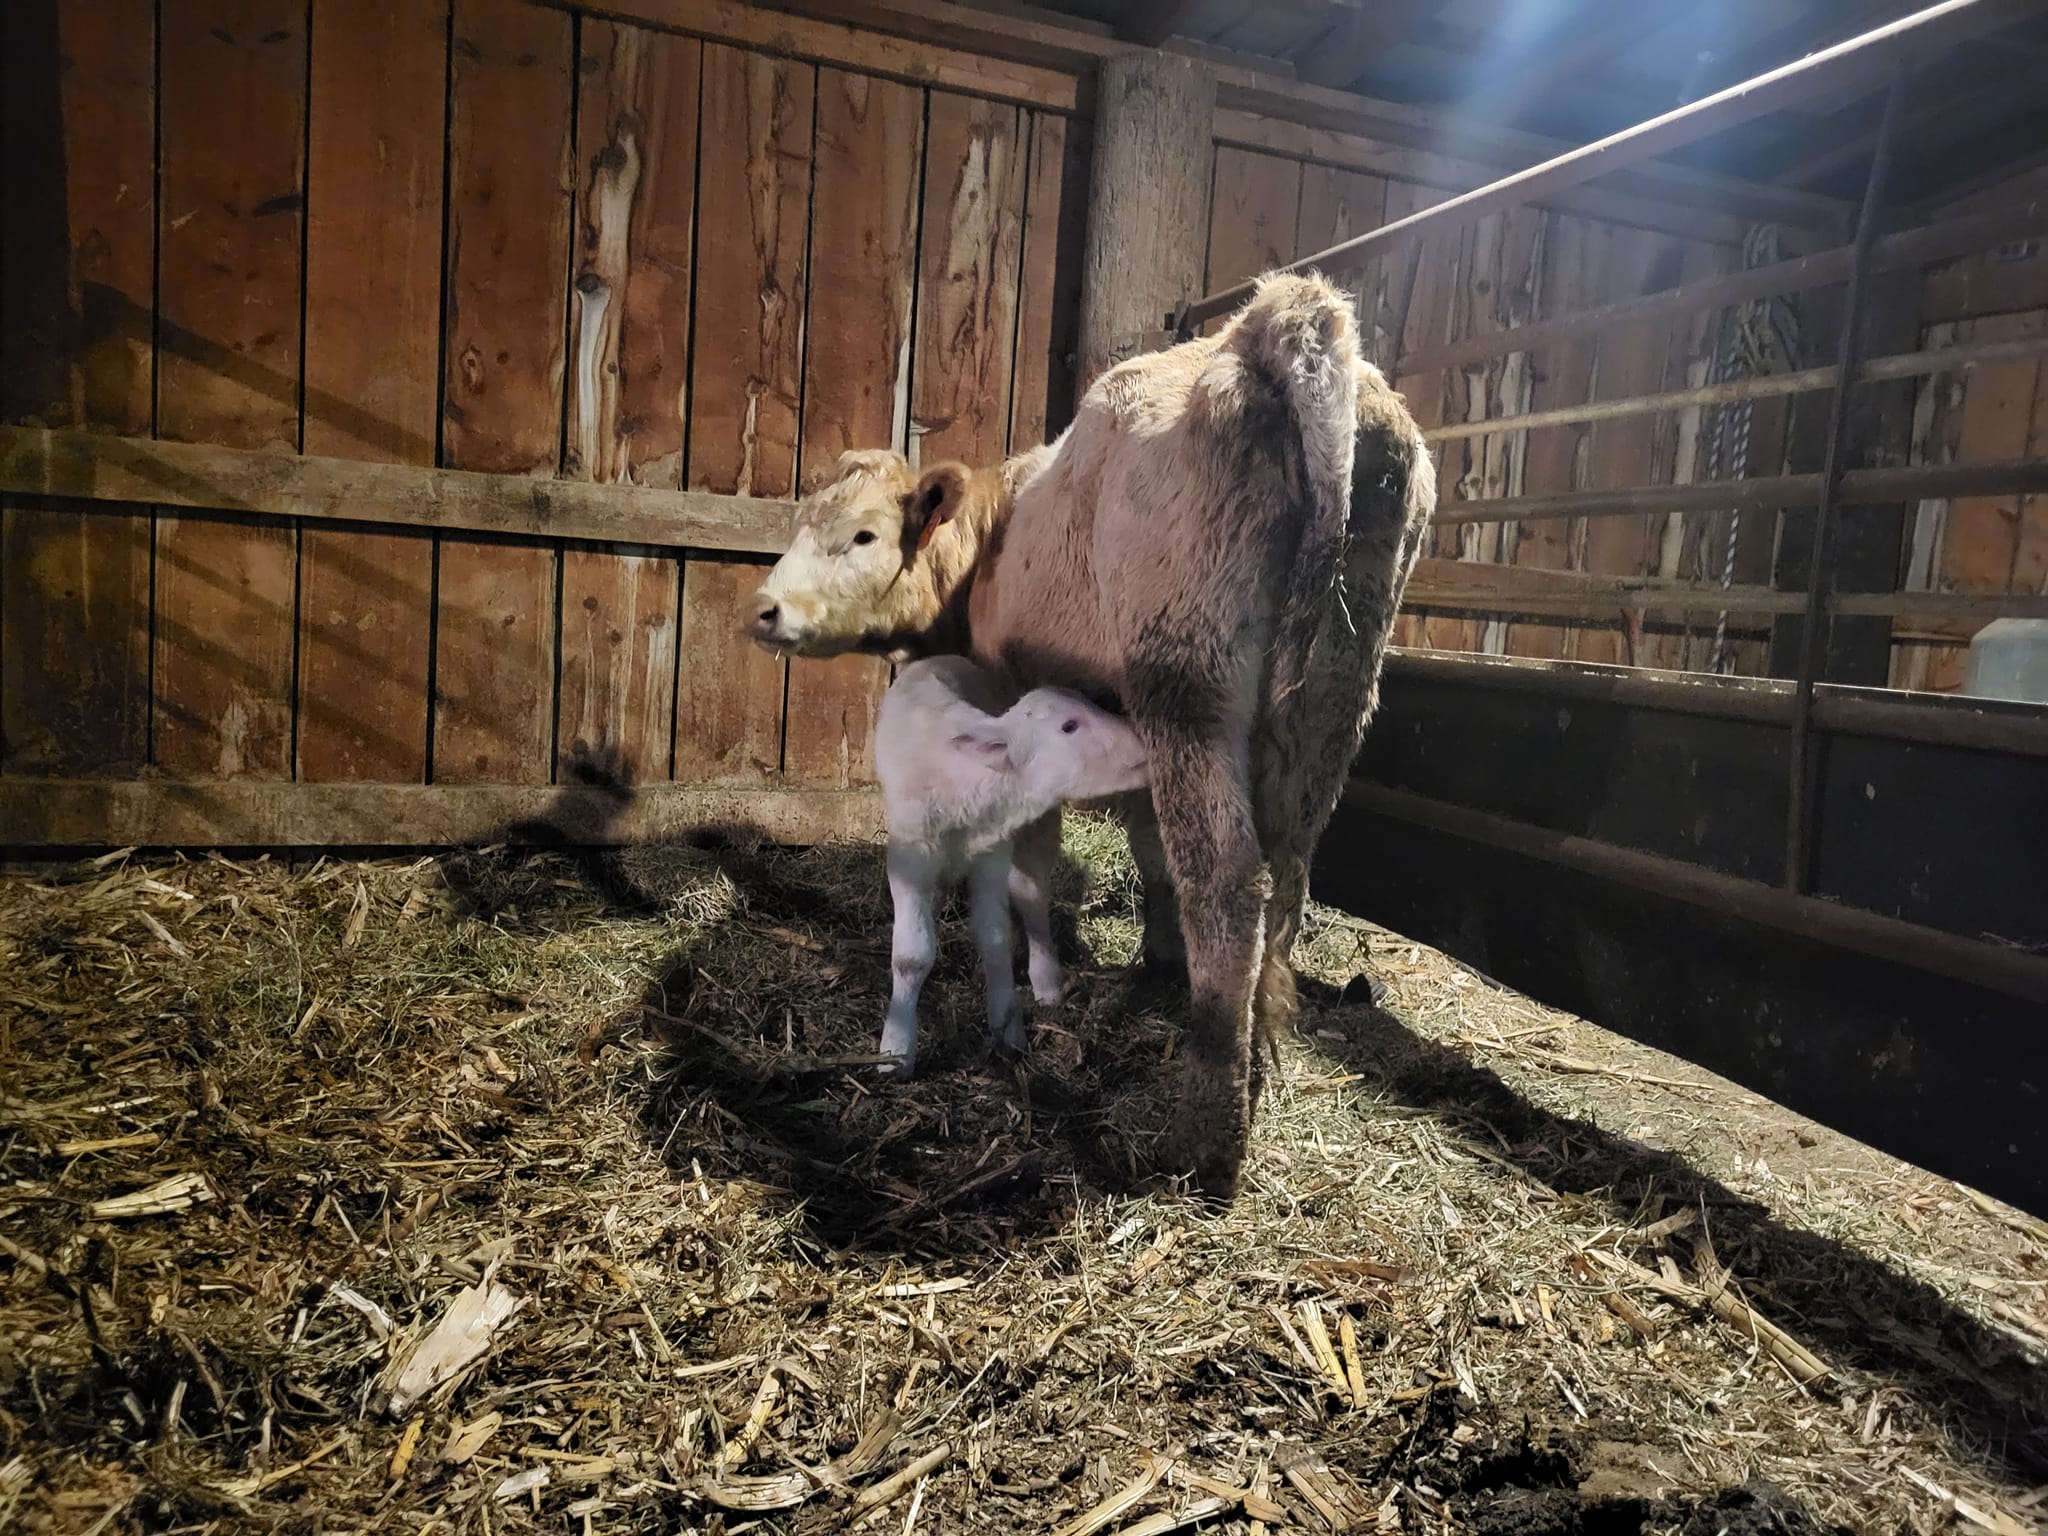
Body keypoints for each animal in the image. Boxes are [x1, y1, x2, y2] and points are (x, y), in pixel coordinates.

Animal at [745, 276, 1433, 1204]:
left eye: (863, 534)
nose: (764, 609)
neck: (991, 542)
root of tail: (1282, 323)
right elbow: (1148, 852)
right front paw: (1154, 963)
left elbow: (1036, 870)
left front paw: (1046, 985)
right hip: (1333, 703)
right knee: (1283, 881)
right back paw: (1254, 1068)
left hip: (1187, 682)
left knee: (1227, 885)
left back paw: (1206, 1141)